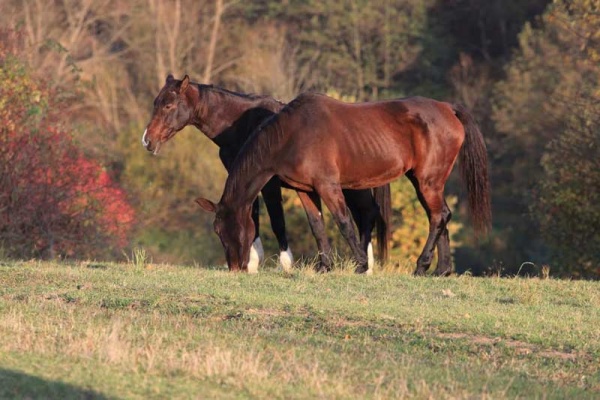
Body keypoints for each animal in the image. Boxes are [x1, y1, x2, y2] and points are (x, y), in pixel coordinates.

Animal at [143, 75, 392, 272]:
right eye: (156, 103)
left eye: (168, 106)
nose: (147, 140)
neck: (243, 124)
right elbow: (252, 214)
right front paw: (254, 261)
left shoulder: (269, 183)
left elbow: (276, 220)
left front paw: (285, 263)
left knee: (367, 213)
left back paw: (366, 265)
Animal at [197, 92, 492, 276]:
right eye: (217, 231)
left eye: (227, 229)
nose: (235, 267)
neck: (292, 133)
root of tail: (448, 108)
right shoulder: (305, 190)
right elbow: (317, 225)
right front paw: (324, 266)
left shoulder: (328, 186)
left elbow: (343, 222)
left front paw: (360, 264)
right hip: (424, 182)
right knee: (440, 216)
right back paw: (441, 270)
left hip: (427, 181)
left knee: (438, 216)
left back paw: (421, 266)